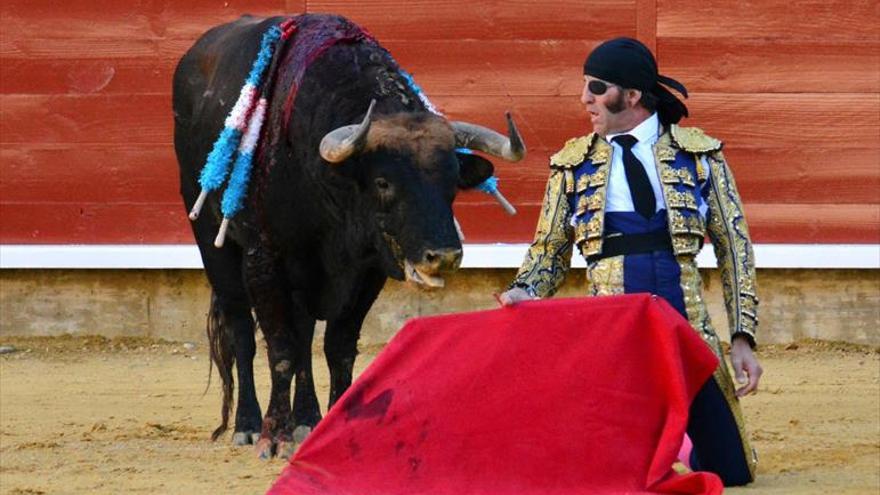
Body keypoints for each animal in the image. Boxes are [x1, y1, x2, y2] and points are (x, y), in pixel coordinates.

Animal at [174, 13, 524, 460]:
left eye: (452, 183)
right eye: (383, 182)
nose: (443, 256)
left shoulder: (367, 269)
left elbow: (337, 347)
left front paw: (335, 427)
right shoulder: (264, 260)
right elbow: (281, 349)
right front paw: (274, 436)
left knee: (305, 334)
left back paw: (307, 419)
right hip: (210, 238)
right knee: (242, 332)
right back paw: (248, 425)